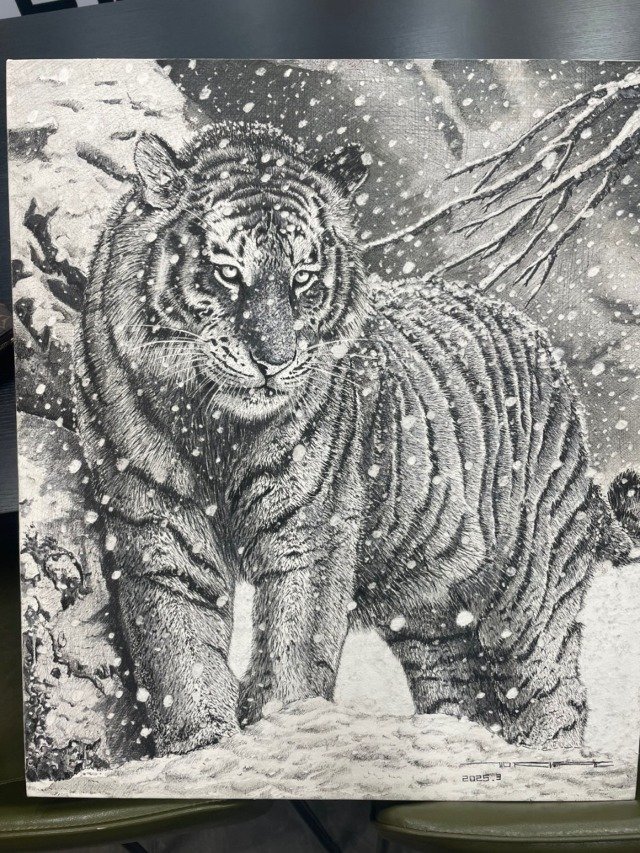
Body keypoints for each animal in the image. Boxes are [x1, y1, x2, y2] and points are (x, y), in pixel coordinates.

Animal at [75, 124, 638, 756]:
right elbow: (177, 645)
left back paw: (546, 757)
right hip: (430, 618)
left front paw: (288, 729)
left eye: (302, 277)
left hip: (529, 591)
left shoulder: (311, 534)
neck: (214, 425)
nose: (274, 361)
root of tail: (540, 343)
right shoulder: (156, 524)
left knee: (553, 695)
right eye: (228, 273)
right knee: (462, 689)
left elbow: (294, 646)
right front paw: (202, 743)